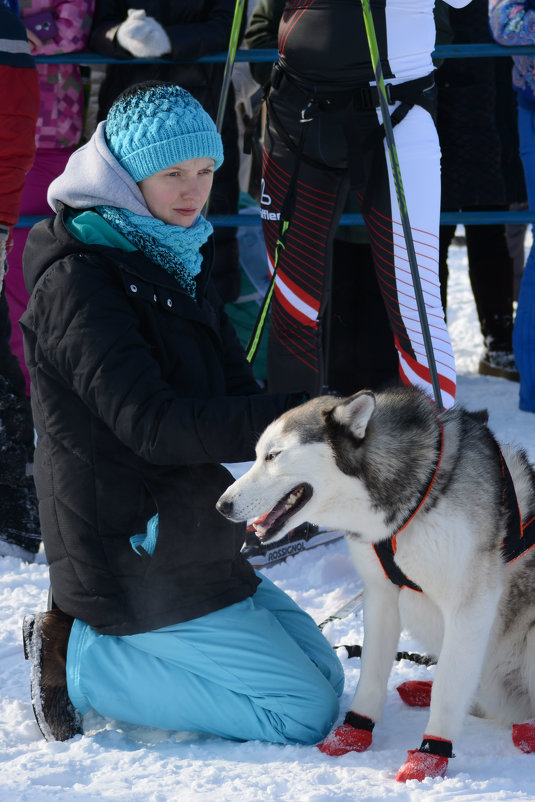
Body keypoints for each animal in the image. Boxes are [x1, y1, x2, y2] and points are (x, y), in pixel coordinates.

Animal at [217, 388, 535, 780]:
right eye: (258, 454)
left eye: (273, 455)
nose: (222, 505)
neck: (413, 500)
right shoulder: (381, 595)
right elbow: (371, 672)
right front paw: (352, 733)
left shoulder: (469, 606)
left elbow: (448, 692)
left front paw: (430, 756)